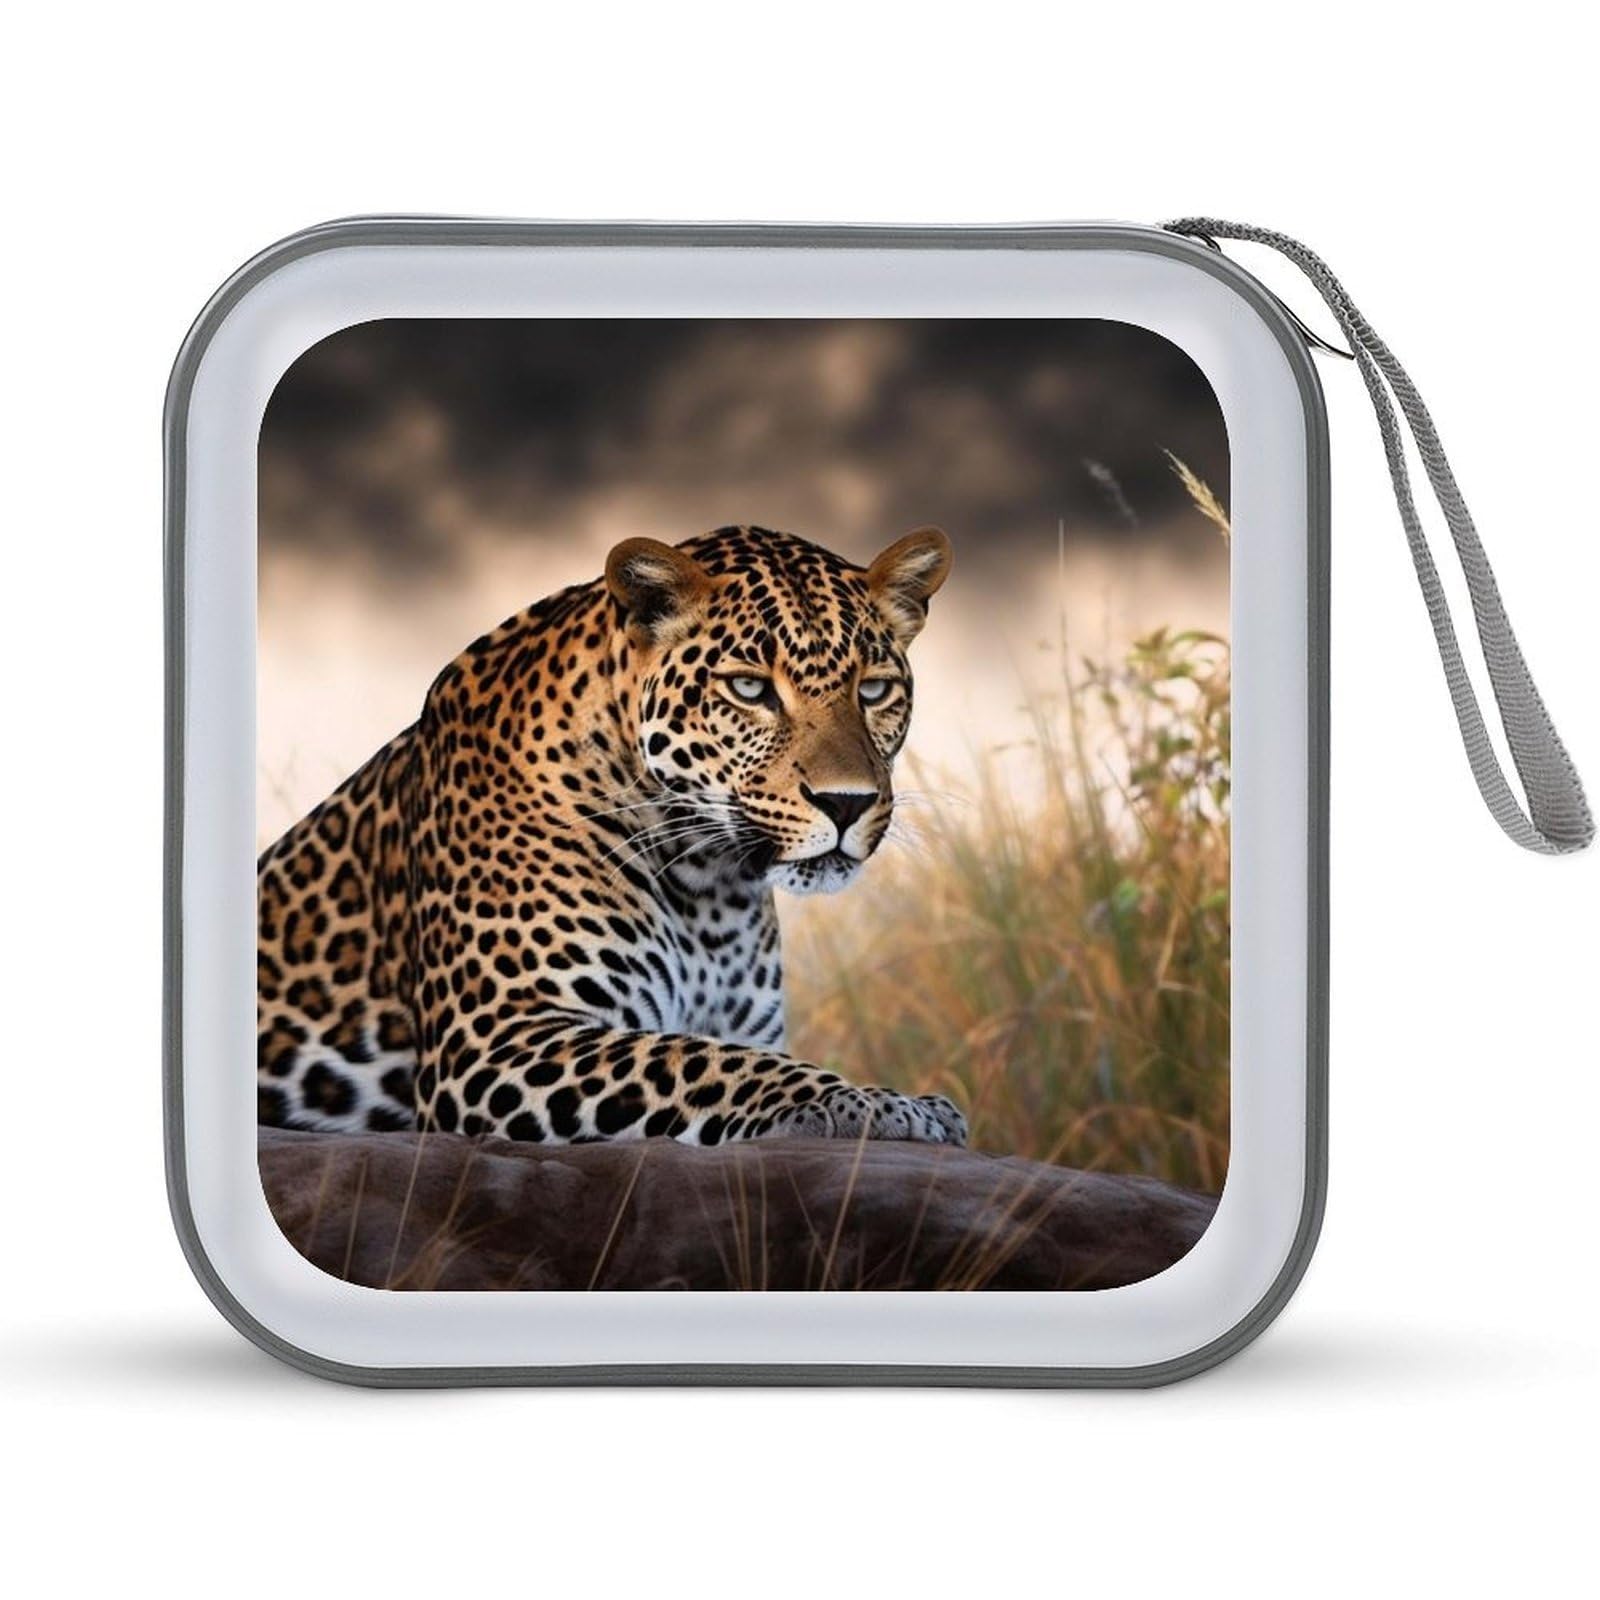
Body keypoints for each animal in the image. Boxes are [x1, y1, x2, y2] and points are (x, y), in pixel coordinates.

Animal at [256, 523, 967, 1148]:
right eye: (749, 688)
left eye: (873, 690)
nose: (847, 804)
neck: (710, 884)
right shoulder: (495, 1042)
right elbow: (701, 1061)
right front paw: (872, 1103)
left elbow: (717, 1051)